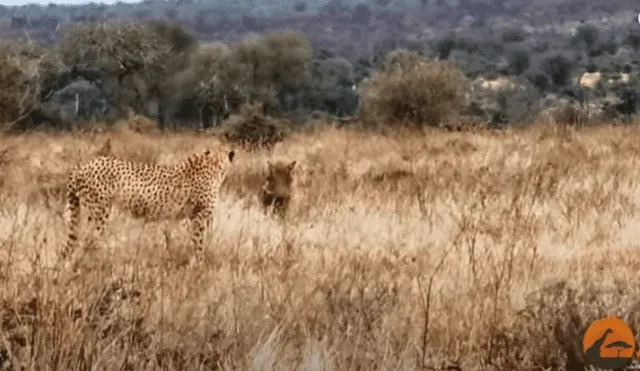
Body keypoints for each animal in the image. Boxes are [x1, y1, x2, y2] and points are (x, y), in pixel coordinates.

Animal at [61, 147, 236, 262]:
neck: (215, 163)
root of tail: (83, 166)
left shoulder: (176, 217)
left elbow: (170, 237)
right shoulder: (199, 216)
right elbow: (199, 244)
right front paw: (200, 266)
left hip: (89, 212)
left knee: (76, 241)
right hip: (100, 212)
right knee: (87, 240)